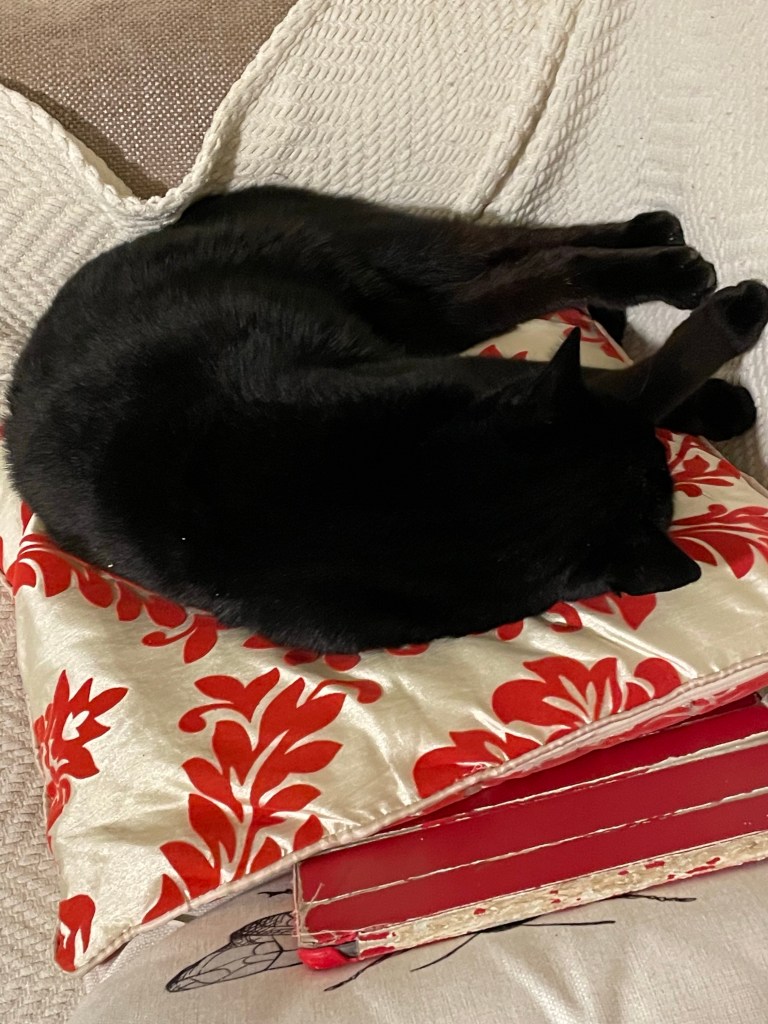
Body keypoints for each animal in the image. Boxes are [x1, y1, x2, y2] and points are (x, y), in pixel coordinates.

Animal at [6, 186, 768, 653]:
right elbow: (643, 383)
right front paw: (725, 354)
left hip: (412, 288)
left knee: (521, 246)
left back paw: (658, 240)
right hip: (428, 306)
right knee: (538, 265)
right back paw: (676, 267)